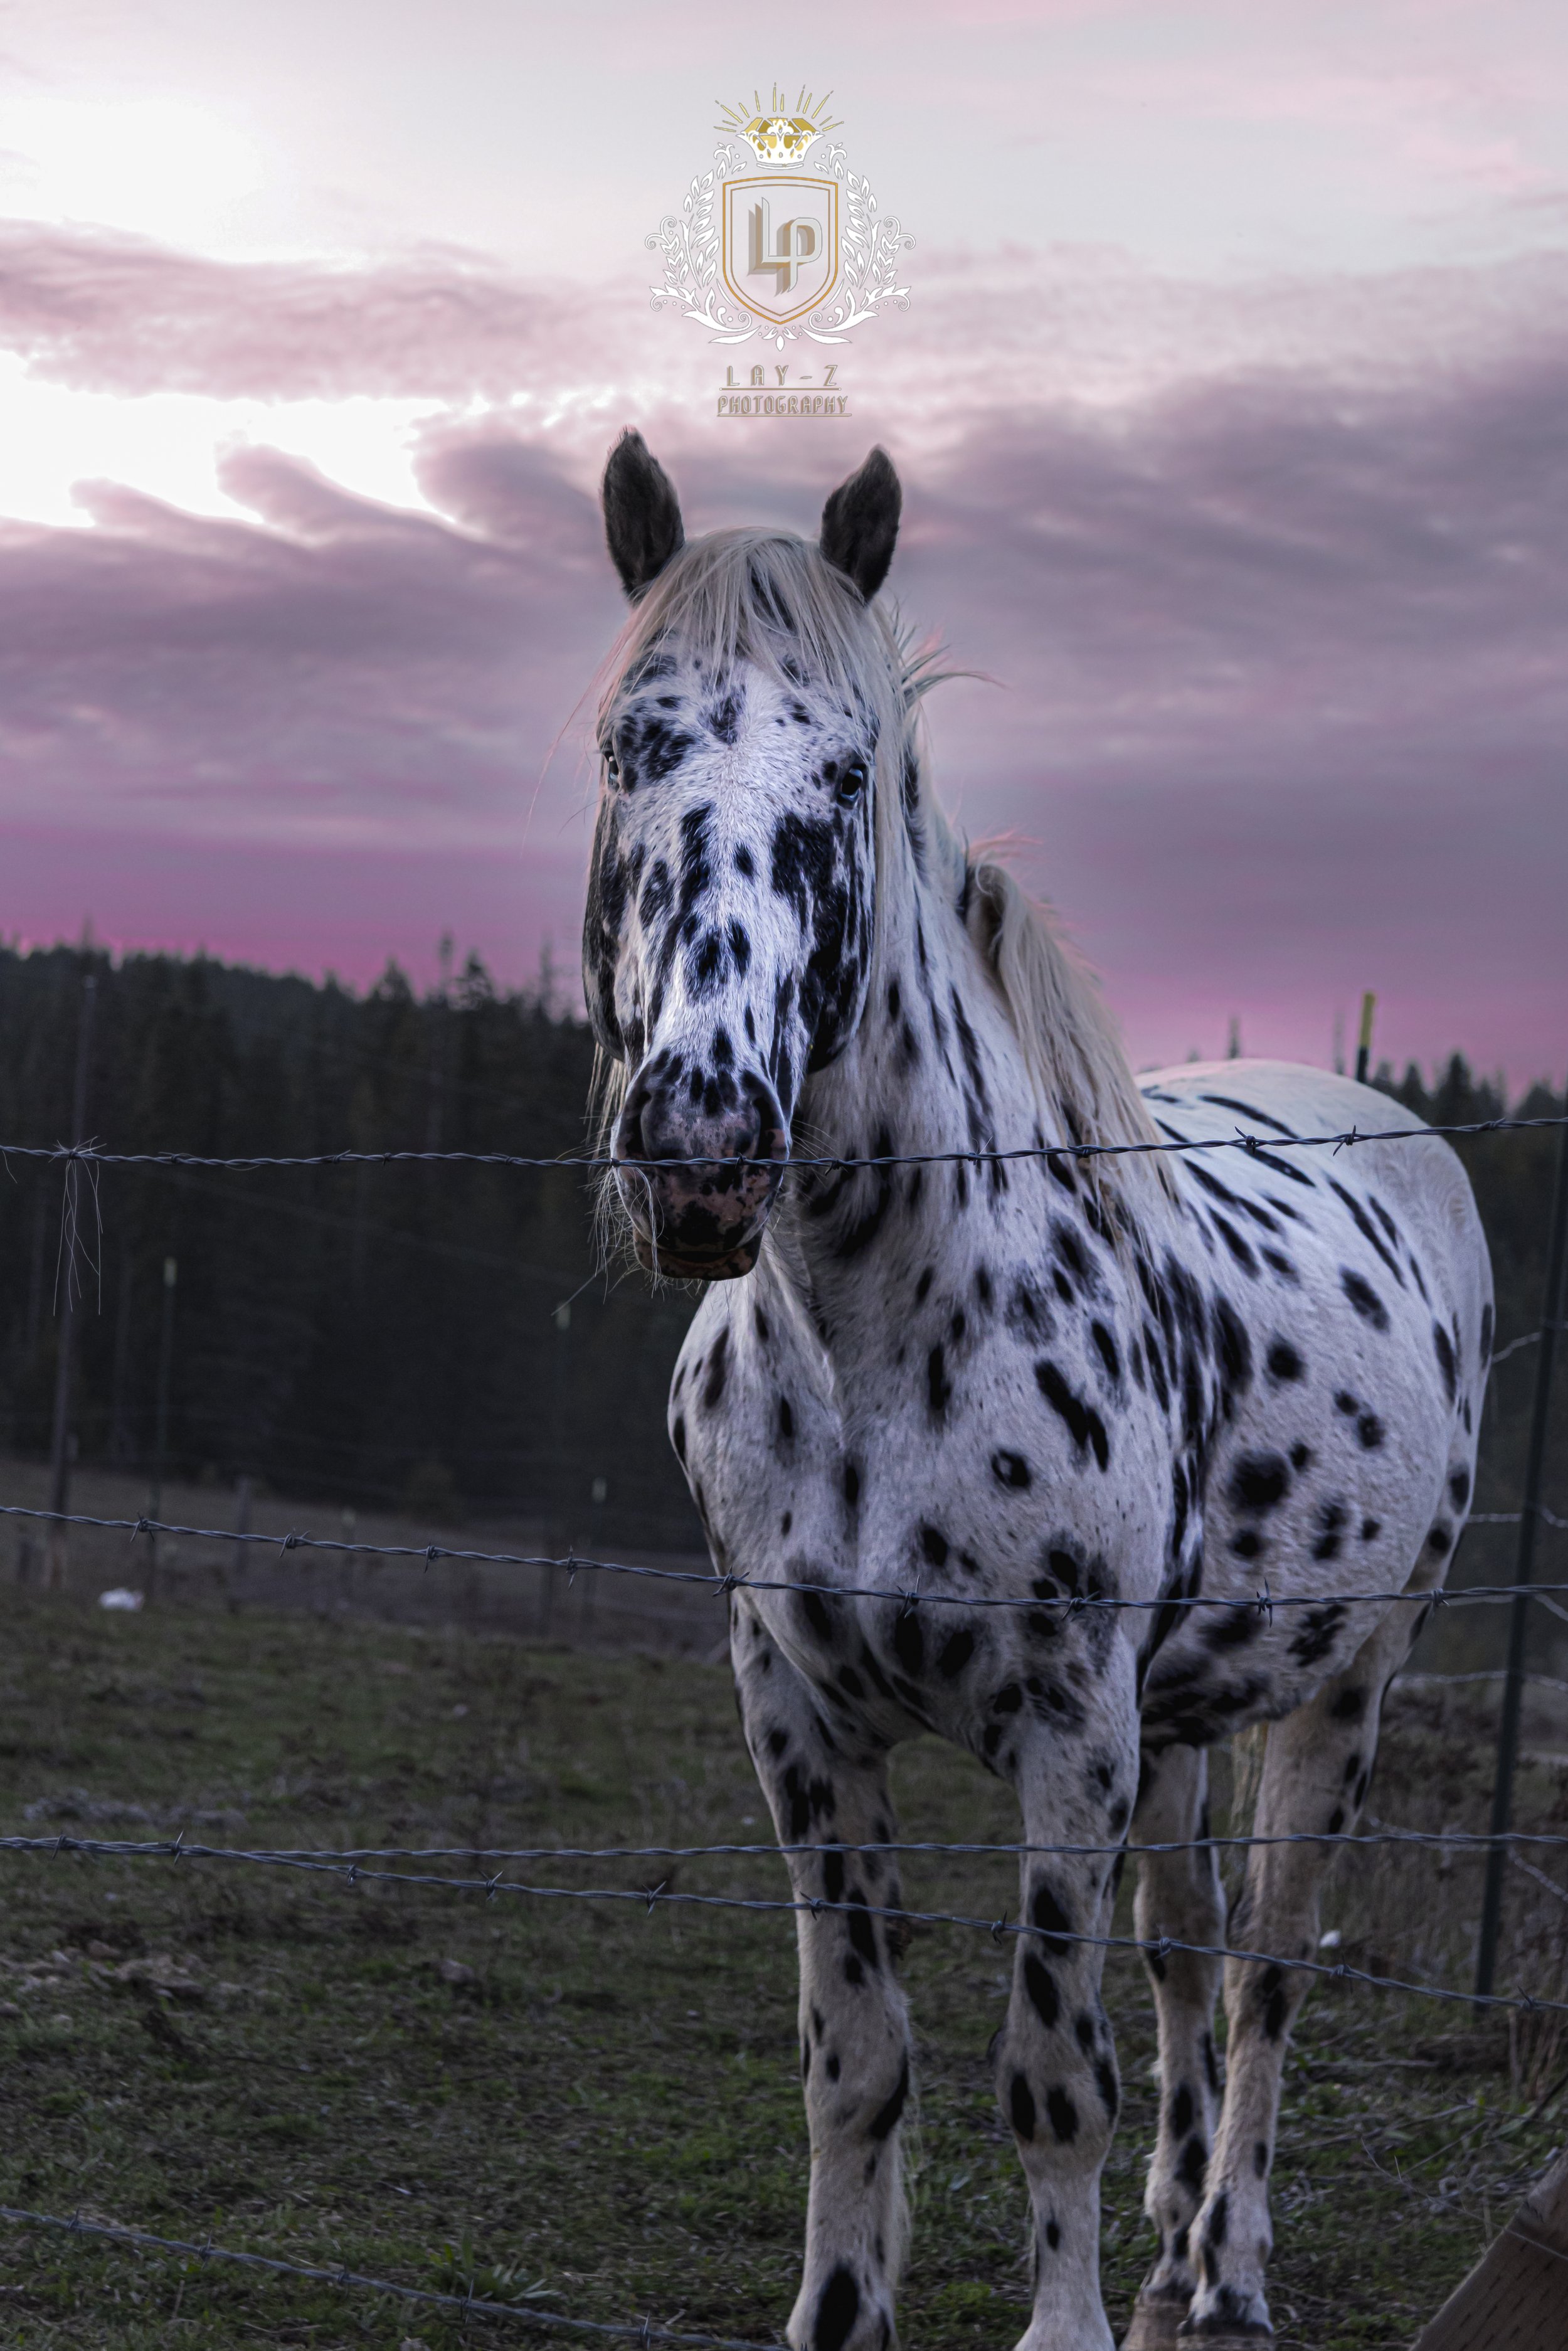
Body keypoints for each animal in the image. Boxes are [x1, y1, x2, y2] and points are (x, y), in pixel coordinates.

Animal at [581, 430, 1493, 2351]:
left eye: (848, 773)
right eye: (630, 743)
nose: (701, 1143)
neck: (878, 1324)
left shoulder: (1068, 1730)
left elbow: (1047, 2071)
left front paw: (1068, 2320)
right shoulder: (798, 1717)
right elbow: (855, 2060)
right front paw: (837, 2308)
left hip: (1344, 1692)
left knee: (1266, 1973)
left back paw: (1225, 2265)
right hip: (1185, 1717)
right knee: (1185, 1949)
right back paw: (1168, 2234)